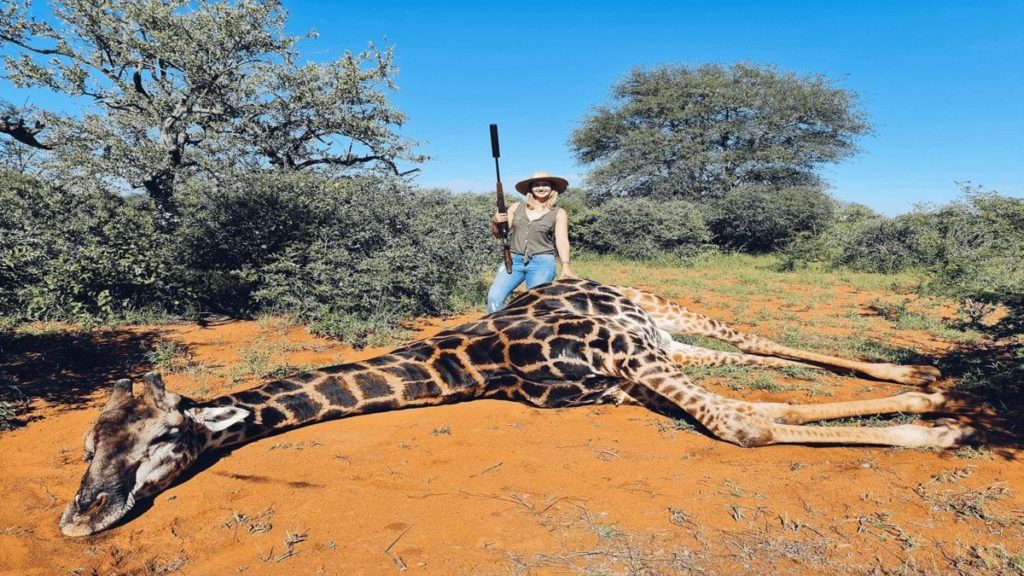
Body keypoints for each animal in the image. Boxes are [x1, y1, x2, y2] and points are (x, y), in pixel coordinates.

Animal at [60, 278, 972, 537]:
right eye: (86, 446)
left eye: (162, 439)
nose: (78, 519)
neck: (475, 367)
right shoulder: (631, 375)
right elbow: (747, 413)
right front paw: (933, 411)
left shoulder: (632, 360)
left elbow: (739, 422)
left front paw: (941, 426)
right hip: (668, 343)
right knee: (754, 355)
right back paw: (920, 382)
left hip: (661, 318)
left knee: (756, 344)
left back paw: (926, 384)